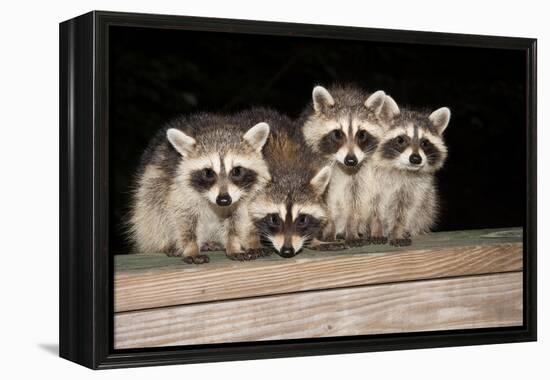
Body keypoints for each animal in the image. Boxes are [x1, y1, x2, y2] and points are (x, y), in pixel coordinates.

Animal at [127, 111, 270, 262]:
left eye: (236, 171)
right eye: (208, 172)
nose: (223, 200)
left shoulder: (241, 198)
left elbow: (237, 221)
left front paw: (234, 245)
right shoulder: (179, 189)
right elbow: (183, 218)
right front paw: (191, 248)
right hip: (150, 186)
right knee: (154, 211)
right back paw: (165, 243)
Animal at [244, 108, 334, 260]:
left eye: (302, 219)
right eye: (274, 219)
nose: (287, 251)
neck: (288, 171)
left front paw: (314, 238)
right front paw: (254, 242)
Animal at [302, 84, 402, 245]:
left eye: (361, 134)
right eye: (337, 134)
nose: (351, 160)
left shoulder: (362, 174)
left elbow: (356, 202)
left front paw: (352, 229)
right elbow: (326, 202)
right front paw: (329, 229)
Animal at [368, 98, 454, 245]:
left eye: (425, 143)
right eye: (401, 139)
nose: (415, 159)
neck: (400, 169)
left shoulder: (413, 188)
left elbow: (405, 209)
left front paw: (398, 230)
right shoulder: (370, 178)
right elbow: (372, 206)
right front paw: (376, 227)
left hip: (428, 204)